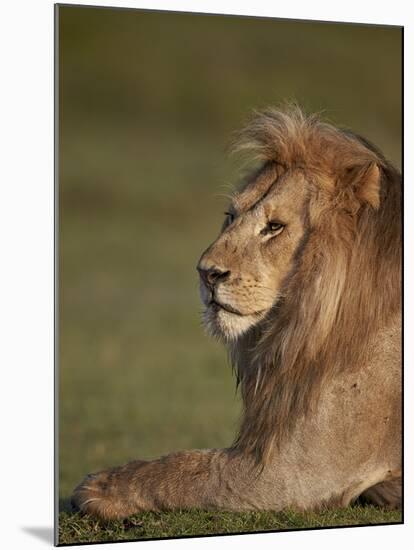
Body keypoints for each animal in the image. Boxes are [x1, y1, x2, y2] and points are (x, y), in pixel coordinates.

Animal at [71, 105, 402, 520]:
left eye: (274, 227)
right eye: (231, 216)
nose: (206, 272)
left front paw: (100, 487)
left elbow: (189, 468)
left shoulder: (298, 469)